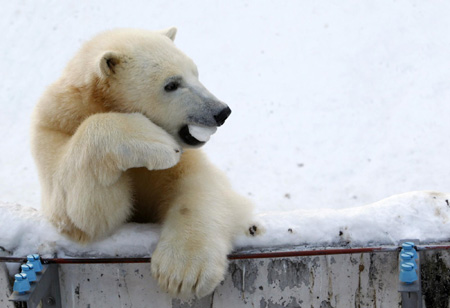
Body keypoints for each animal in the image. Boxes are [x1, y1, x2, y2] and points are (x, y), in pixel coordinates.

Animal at [30, 28, 256, 298]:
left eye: (195, 72)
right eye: (171, 84)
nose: (221, 111)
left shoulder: (185, 161)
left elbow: (202, 186)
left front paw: (183, 272)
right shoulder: (53, 130)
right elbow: (83, 214)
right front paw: (154, 141)